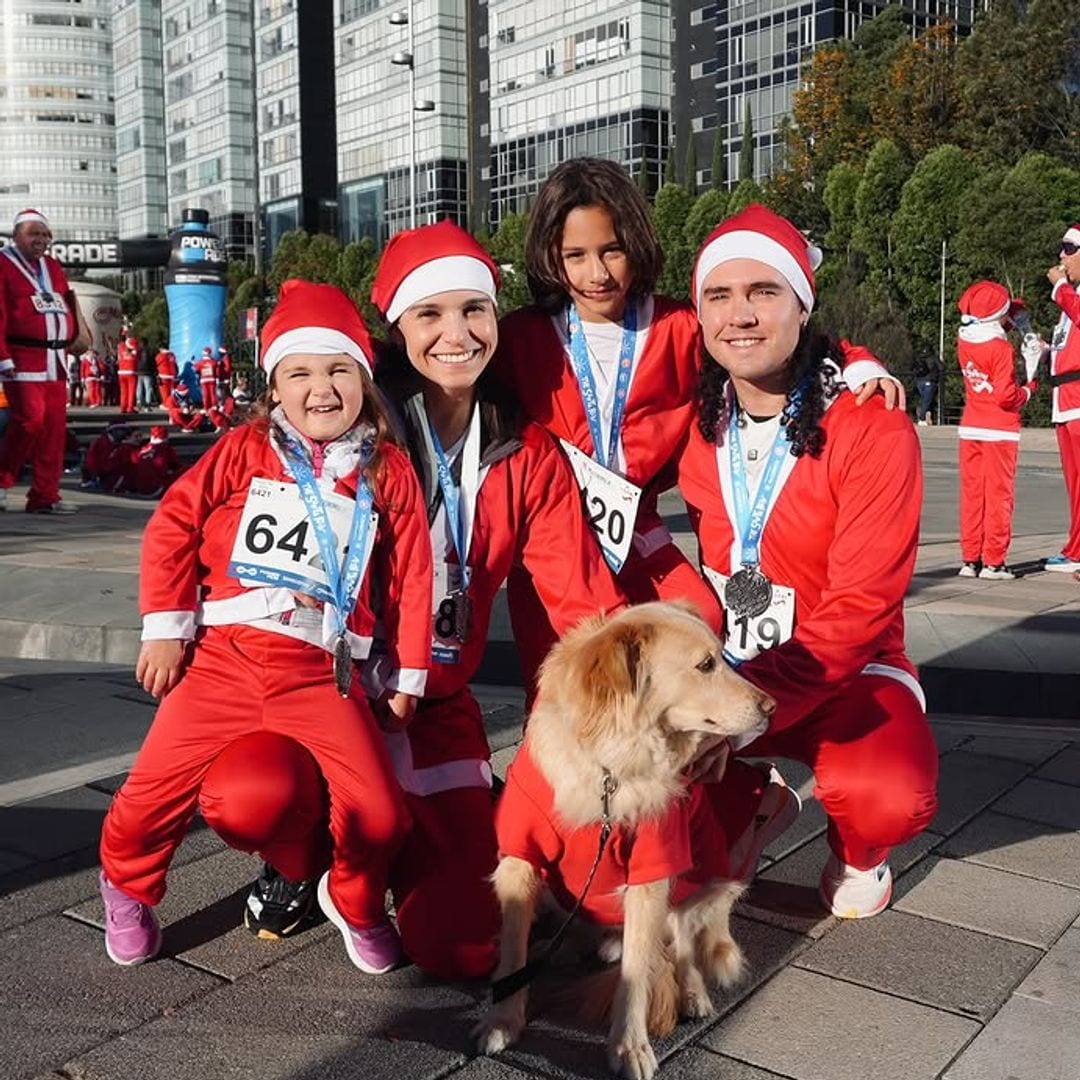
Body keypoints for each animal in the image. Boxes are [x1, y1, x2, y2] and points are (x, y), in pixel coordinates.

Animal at [477, 604, 773, 1075]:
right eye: (705, 665)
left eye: (721, 656)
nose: (771, 706)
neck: (609, 770)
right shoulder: (520, 860)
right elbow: (512, 952)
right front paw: (503, 1021)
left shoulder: (651, 873)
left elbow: (636, 977)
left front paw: (629, 1046)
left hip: (708, 879)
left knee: (682, 946)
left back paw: (692, 993)